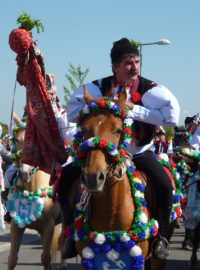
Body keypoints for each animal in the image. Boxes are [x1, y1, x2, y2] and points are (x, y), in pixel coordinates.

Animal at [6, 113, 66, 268]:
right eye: (16, 140)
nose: (24, 173)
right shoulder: (16, 226)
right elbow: (12, 259)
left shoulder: (49, 226)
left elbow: (45, 258)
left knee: (62, 243)